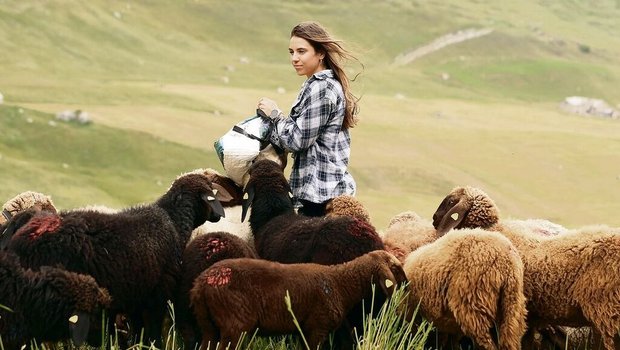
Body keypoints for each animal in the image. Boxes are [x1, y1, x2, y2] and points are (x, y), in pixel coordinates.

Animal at [2, 169, 234, 344]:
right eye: (212, 196)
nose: (218, 215)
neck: (173, 221)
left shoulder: (137, 296)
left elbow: (136, 333)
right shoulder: (158, 293)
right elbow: (152, 331)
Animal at [191, 250, 410, 350]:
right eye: (396, 268)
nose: (408, 286)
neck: (340, 283)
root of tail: (201, 283)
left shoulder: (304, 331)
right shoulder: (317, 328)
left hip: (208, 325)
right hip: (234, 325)